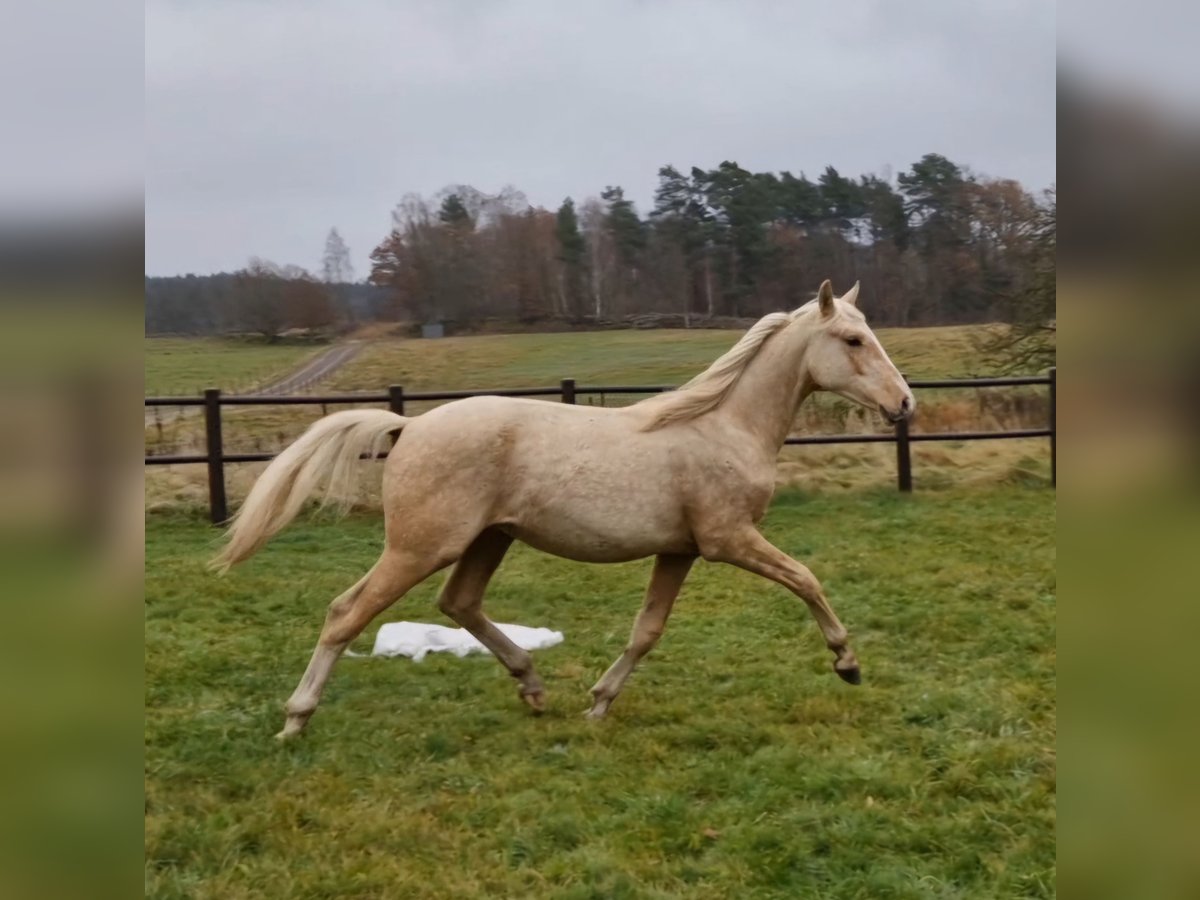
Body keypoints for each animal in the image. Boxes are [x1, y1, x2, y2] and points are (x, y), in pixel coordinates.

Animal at [216, 280, 912, 739]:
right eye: (853, 338)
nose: (904, 404)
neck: (725, 426)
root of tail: (406, 427)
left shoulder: (679, 551)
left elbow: (647, 630)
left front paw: (598, 703)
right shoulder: (728, 539)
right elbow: (807, 579)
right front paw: (847, 664)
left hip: (488, 539)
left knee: (458, 602)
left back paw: (533, 686)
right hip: (421, 546)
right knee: (346, 612)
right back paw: (295, 720)